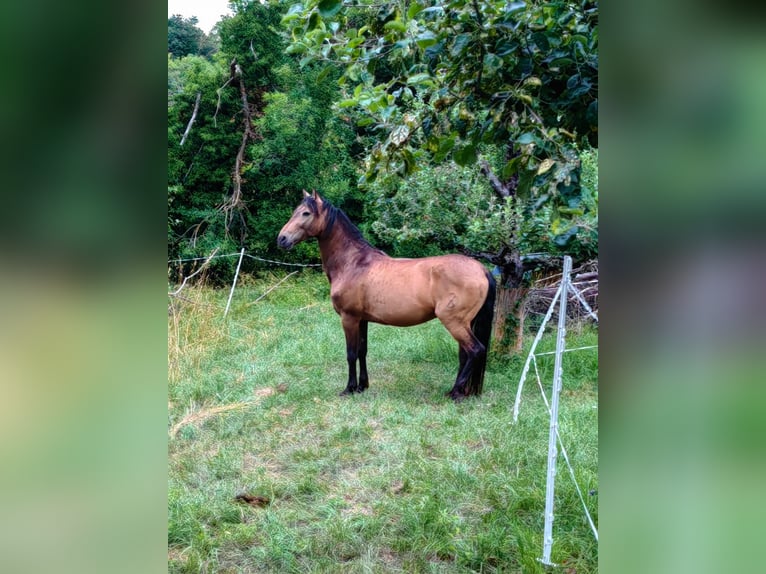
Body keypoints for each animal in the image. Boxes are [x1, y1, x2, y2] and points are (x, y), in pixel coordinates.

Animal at [276, 191, 498, 402]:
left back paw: (455, 392)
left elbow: (350, 354)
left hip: (454, 322)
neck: (354, 263)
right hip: (465, 323)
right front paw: (362, 386)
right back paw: (461, 392)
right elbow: (362, 351)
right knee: (465, 355)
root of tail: (481, 269)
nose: (282, 239)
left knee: (475, 350)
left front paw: (349, 389)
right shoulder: (362, 319)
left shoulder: (349, 318)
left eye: (306, 213)